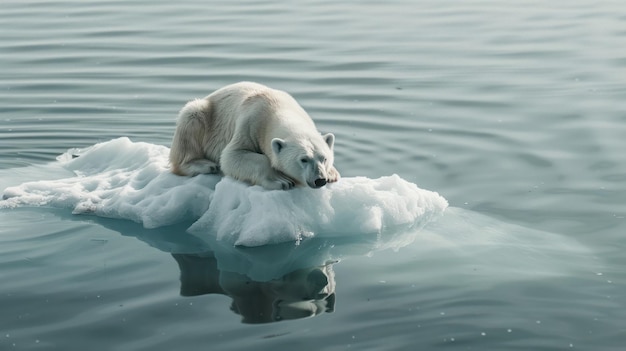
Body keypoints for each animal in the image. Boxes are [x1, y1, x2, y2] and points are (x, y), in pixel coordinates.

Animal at [168, 81, 338, 191]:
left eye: (324, 158)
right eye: (303, 159)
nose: (320, 180)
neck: (275, 107)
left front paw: (332, 174)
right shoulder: (250, 123)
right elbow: (231, 156)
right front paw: (281, 180)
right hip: (205, 114)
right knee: (191, 117)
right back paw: (202, 164)